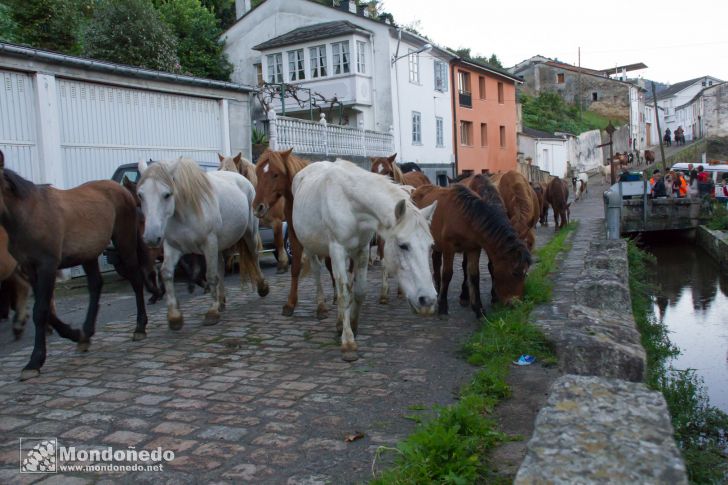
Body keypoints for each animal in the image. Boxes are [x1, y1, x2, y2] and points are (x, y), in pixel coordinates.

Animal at [0, 149, 148, 380]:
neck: (28, 213)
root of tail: (123, 190)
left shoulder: (47, 266)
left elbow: (41, 311)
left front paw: (34, 361)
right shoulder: (30, 268)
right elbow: (46, 311)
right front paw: (74, 334)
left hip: (124, 242)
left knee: (136, 278)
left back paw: (140, 327)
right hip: (89, 254)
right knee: (96, 285)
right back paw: (86, 334)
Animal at [136, 157, 268, 328]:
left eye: (167, 194)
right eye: (140, 195)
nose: (151, 237)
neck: (184, 213)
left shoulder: (209, 243)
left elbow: (211, 276)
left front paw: (212, 312)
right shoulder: (172, 247)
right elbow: (166, 273)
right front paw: (174, 316)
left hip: (249, 234)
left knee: (254, 256)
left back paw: (262, 287)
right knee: (221, 267)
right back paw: (221, 301)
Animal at [292, 159, 438, 360]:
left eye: (430, 246)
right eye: (403, 245)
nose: (428, 300)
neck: (350, 204)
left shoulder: (362, 250)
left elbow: (359, 291)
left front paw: (352, 325)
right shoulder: (338, 249)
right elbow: (344, 294)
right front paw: (348, 342)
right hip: (310, 246)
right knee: (317, 272)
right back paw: (321, 307)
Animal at [412, 180, 532, 316]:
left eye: (525, 274)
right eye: (515, 273)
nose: (515, 304)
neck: (464, 217)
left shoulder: (473, 248)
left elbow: (474, 275)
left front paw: (478, 308)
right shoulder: (449, 247)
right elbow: (447, 274)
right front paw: (443, 307)